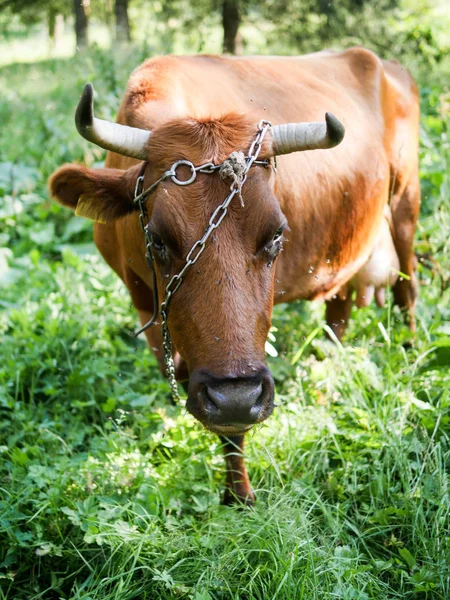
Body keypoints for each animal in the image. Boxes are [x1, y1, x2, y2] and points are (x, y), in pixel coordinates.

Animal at [48, 48, 418, 506]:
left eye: (276, 235)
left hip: (406, 201)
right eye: (158, 240)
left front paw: (238, 494)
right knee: (340, 308)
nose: (236, 398)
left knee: (407, 287)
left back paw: (410, 352)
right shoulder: (143, 303)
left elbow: (232, 429)